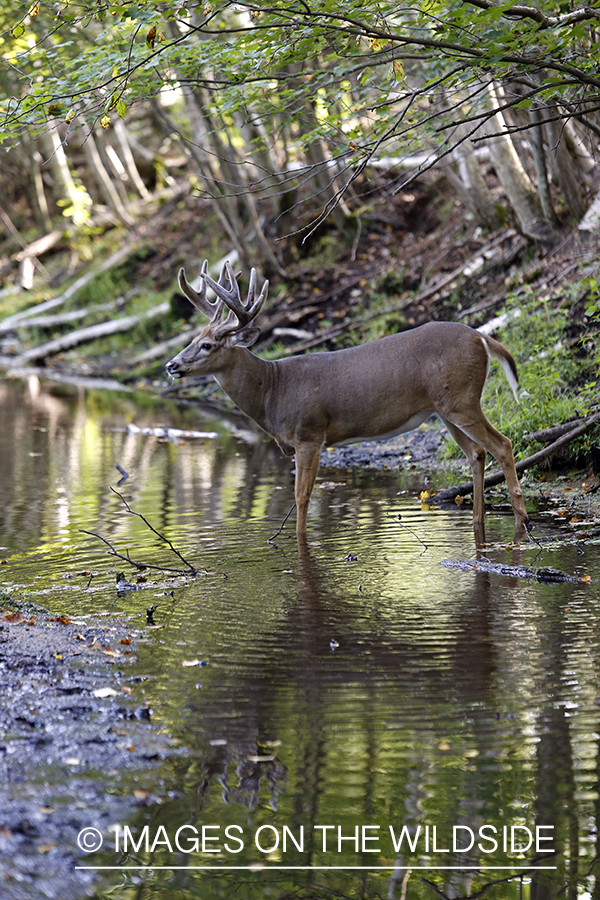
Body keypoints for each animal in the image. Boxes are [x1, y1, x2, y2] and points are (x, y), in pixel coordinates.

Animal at [166, 260, 528, 540]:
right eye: (193, 339)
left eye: (208, 345)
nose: (172, 365)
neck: (272, 390)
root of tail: (481, 336)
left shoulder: (309, 433)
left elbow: (302, 496)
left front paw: (300, 540)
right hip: (444, 409)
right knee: (477, 453)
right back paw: (479, 520)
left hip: (461, 400)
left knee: (503, 444)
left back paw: (521, 520)